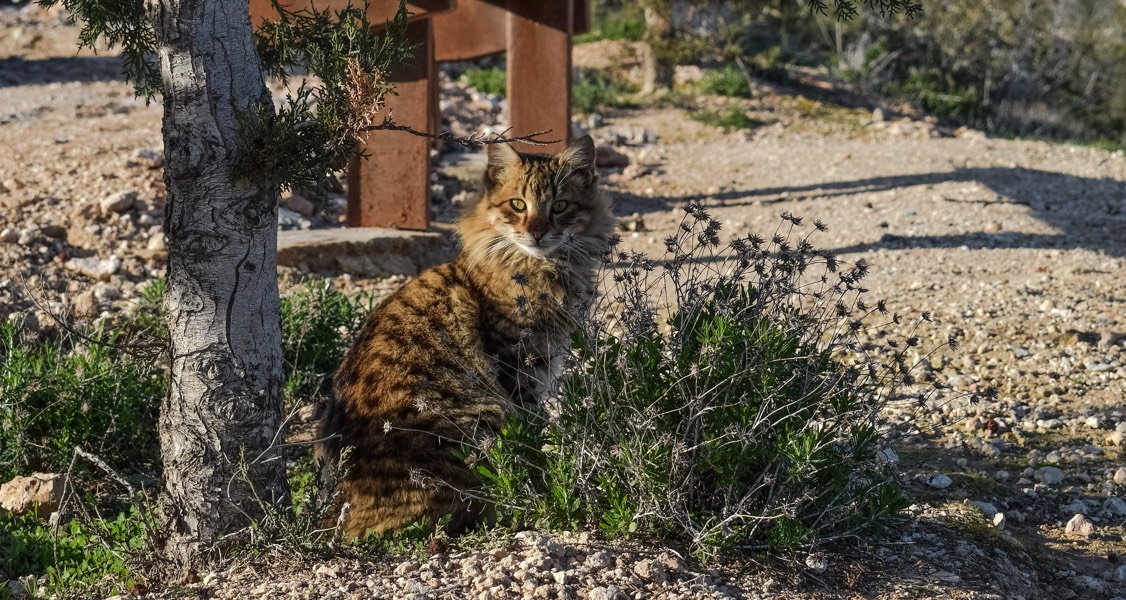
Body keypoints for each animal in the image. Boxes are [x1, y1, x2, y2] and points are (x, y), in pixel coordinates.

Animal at [315, 136, 617, 538]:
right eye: (517, 205)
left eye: (560, 206)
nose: (537, 232)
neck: (539, 266)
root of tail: (335, 513)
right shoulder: (521, 367)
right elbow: (531, 438)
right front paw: (546, 488)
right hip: (479, 417)